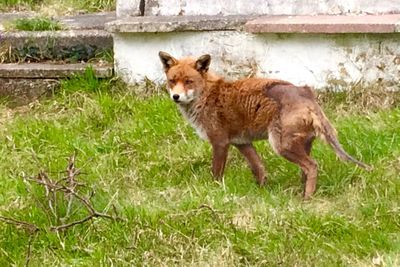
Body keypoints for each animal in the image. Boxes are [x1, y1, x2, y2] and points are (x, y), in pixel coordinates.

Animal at [158, 51, 370, 199]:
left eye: (188, 81)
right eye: (172, 81)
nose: (175, 96)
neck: (208, 96)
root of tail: (307, 95)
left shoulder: (220, 142)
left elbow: (216, 173)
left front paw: (214, 191)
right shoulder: (242, 143)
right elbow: (259, 168)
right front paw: (261, 191)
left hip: (281, 146)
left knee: (312, 166)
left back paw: (307, 198)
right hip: (300, 144)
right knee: (306, 169)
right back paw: (302, 192)